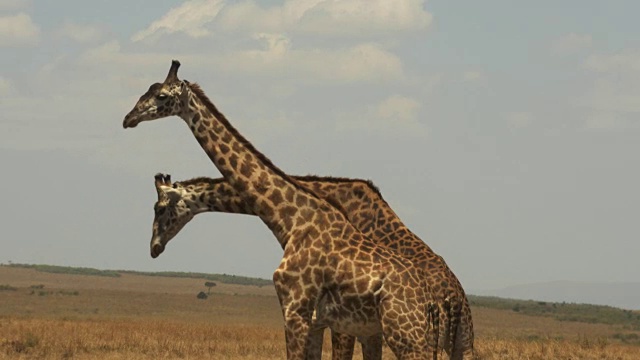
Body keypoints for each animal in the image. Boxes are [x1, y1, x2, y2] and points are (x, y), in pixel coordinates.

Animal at [120, 60, 440, 358]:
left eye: (161, 95)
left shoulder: (295, 311)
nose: (128, 118)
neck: (290, 219)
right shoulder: (315, 321)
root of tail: (432, 301)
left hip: (404, 334)